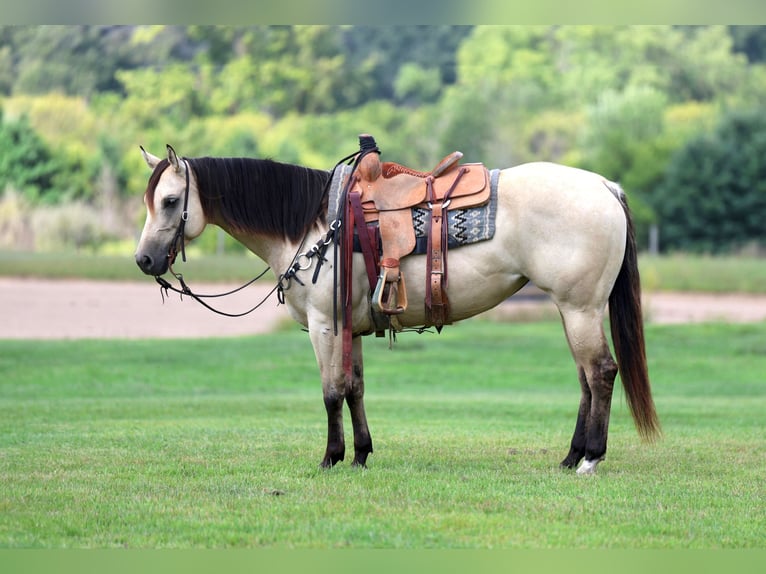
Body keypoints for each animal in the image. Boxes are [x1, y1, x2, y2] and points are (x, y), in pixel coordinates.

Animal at [135, 143, 661, 475]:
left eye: (171, 200)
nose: (144, 260)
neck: (316, 226)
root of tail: (604, 187)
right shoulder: (351, 327)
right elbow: (355, 390)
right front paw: (361, 455)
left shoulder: (325, 327)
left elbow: (331, 392)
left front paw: (331, 457)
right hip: (573, 311)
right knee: (585, 379)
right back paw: (571, 456)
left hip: (580, 307)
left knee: (601, 373)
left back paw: (591, 458)